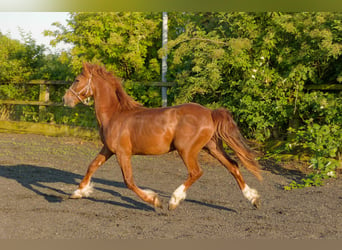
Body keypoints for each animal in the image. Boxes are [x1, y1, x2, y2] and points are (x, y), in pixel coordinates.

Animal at [63, 62, 262, 209]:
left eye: (77, 80)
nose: (66, 99)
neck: (115, 114)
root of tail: (210, 113)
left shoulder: (122, 153)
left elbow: (129, 181)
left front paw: (154, 200)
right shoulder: (108, 149)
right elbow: (92, 166)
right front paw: (78, 192)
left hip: (187, 150)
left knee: (196, 172)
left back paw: (174, 200)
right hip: (212, 147)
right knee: (233, 166)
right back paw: (253, 198)